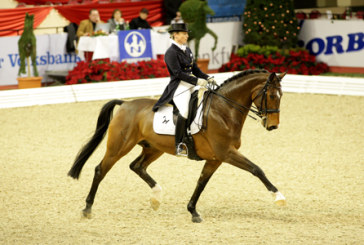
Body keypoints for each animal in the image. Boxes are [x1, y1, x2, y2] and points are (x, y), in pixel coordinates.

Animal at [68, 69, 288, 222]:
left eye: (281, 96)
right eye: (271, 96)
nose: (273, 125)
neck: (223, 110)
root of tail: (125, 104)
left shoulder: (216, 159)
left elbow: (201, 182)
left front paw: (193, 211)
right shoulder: (226, 153)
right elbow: (256, 169)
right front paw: (279, 197)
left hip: (153, 148)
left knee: (137, 166)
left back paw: (156, 198)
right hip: (118, 147)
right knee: (101, 169)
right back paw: (87, 209)